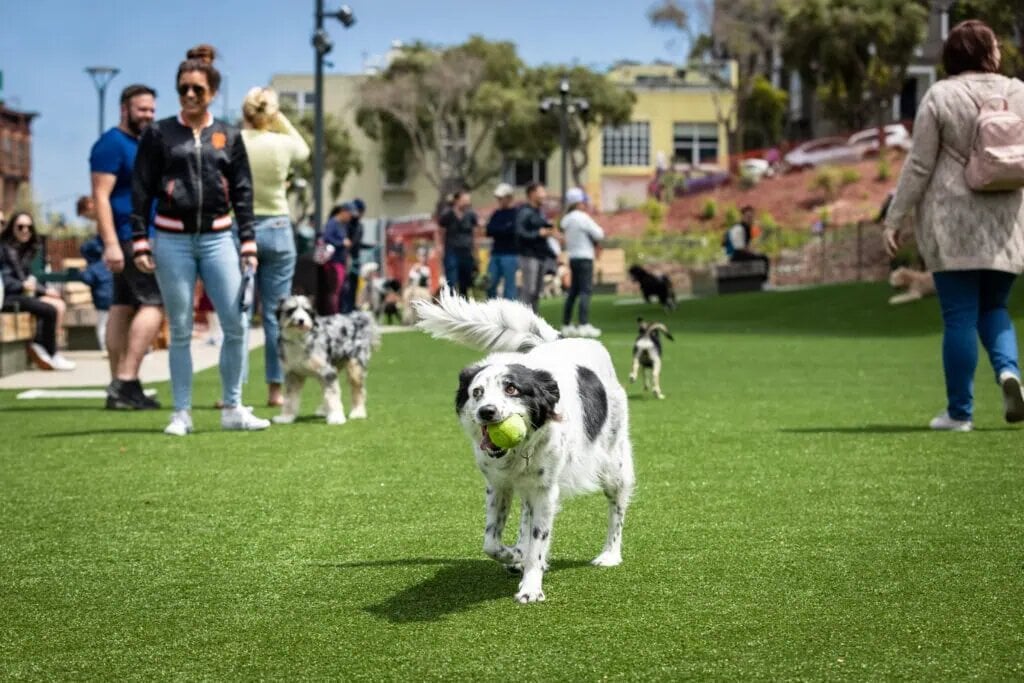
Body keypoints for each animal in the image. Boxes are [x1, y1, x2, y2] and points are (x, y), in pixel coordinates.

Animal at [272, 294, 380, 423]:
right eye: (291, 310)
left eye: (307, 311)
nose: (301, 321)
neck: (299, 340)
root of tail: (358, 318)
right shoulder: (293, 374)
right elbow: (290, 398)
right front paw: (286, 417)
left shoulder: (327, 371)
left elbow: (332, 395)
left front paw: (336, 417)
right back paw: (324, 410)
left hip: (355, 367)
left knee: (358, 390)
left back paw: (357, 412)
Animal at [413, 290, 634, 602]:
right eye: (477, 392)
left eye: (512, 389)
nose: (487, 412)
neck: (519, 449)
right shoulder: (498, 484)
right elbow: (492, 543)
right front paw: (515, 555)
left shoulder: (545, 489)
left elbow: (538, 539)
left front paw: (531, 587)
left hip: (614, 465)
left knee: (617, 508)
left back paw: (610, 554)